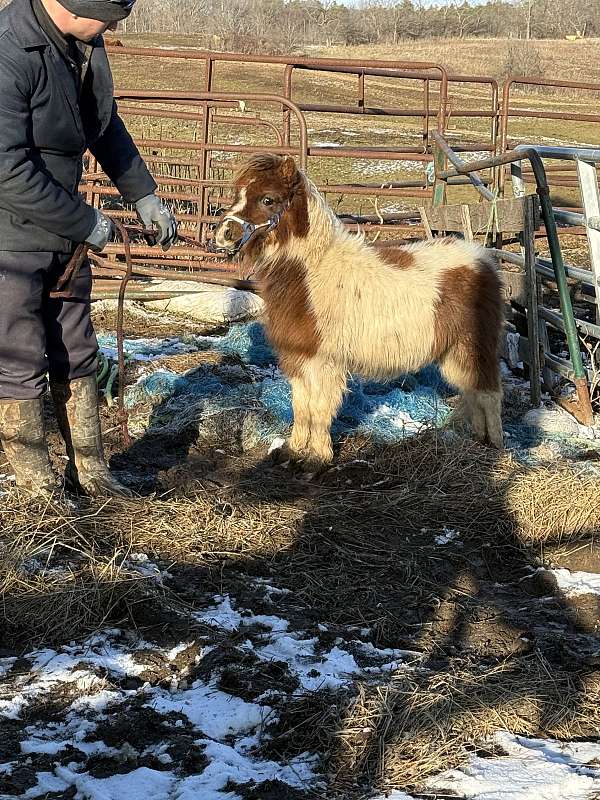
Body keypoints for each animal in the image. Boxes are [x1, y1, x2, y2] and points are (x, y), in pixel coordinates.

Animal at [213, 154, 504, 470]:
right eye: (238, 194)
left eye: (268, 199)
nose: (224, 234)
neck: (311, 274)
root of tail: (484, 259)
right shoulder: (298, 357)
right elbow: (301, 405)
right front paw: (294, 449)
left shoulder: (324, 361)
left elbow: (319, 407)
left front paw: (317, 459)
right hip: (453, 353)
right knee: (473, 392)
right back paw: (476, 441)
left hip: (473, 346)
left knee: (489, 393)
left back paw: (496, 448)